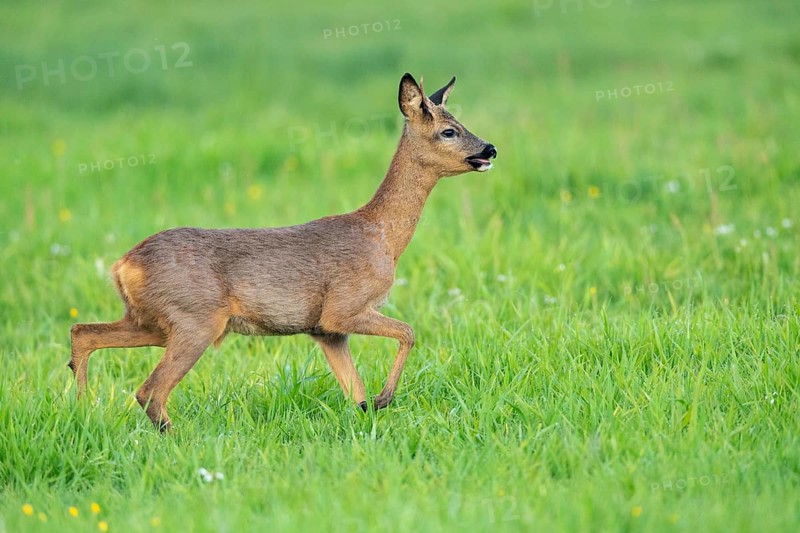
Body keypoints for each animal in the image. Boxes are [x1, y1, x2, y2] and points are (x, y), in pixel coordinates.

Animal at [69, 73, 497, 432]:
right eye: (448, 130)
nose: (490, 148)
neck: (383, 237)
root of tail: (122, 265)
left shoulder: (325, 331)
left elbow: (354, 391)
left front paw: (368, 409)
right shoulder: (342, 307)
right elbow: (409, 332)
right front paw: (384, 399)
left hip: (153, 321)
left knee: (83, 332)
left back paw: (83, 409)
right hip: (195, 319)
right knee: (149, 391)